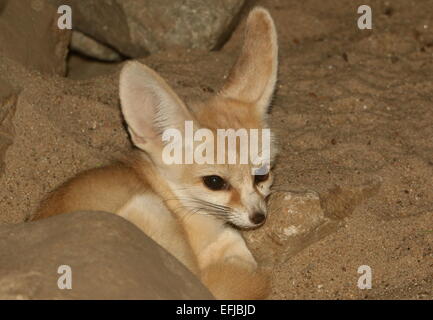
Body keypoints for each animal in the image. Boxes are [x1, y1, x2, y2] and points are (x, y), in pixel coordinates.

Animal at [33, 7, 276, 300]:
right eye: (214, 182)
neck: (169, 192)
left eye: (262, 175)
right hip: (148, 210)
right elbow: (235, 246)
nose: (259, 217)